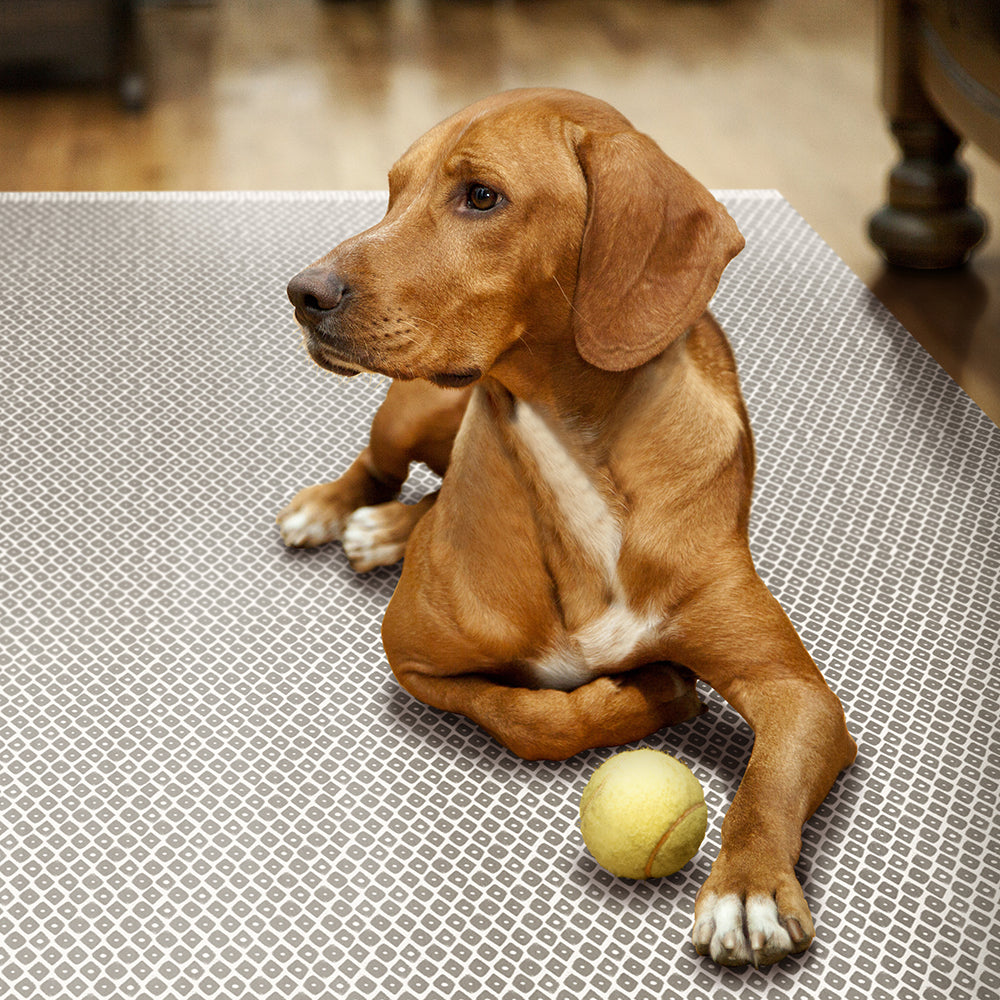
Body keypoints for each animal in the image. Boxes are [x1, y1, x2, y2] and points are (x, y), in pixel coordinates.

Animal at [278, 90, 856, 964]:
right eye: (393, 190)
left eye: (481, 196)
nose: (303, 292)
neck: (572, 449)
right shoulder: (411, 656)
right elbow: (528, 715)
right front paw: (652, 694)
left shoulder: (803, 696)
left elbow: (769, 781)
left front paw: (748, 885)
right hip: (411, 409)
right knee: (378, 469)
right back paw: (342, 512)